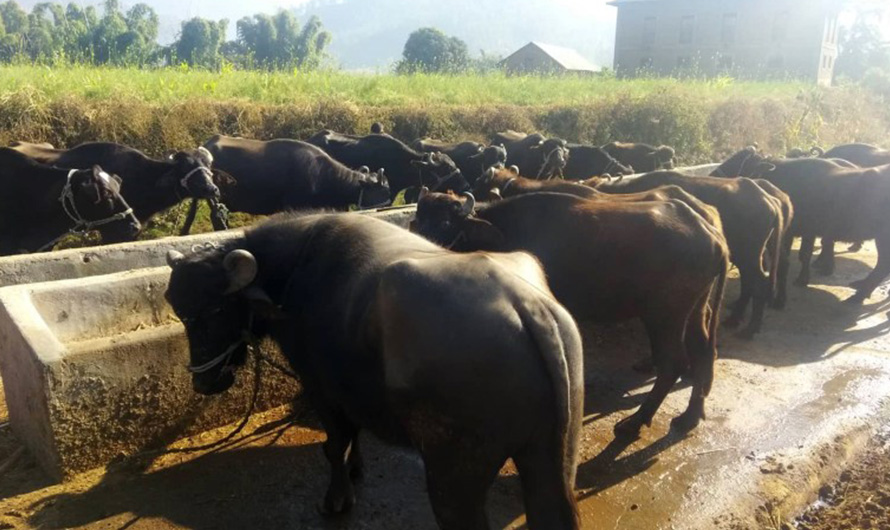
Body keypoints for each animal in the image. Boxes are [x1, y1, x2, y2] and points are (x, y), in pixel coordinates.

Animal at [166, 212, 584, 524]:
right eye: (180, 310)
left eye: (217, 308)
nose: (204, 383)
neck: (294, 273)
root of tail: (527, 306)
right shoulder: (353, 391)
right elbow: (354, 436)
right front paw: (357, 468)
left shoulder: (321, 388)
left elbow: (335, 444)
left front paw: (337, 499)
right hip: (551, 458)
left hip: (454, 475)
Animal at [412, 192, 724, 436]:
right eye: (417, 223)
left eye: (445, 223)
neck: (505, 234)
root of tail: (710, 233)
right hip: (696, 307)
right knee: (703, 350)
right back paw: (690, 416)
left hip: (664, 314)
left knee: (673, 363)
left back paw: (635, 422)